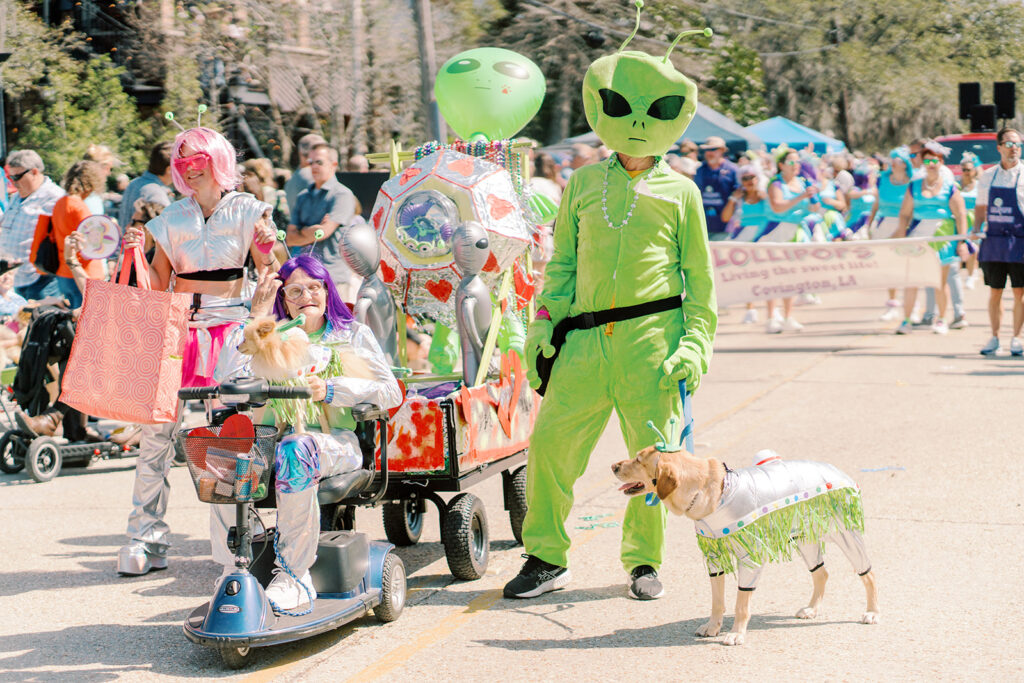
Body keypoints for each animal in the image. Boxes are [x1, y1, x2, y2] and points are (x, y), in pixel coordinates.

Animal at [610, 446, 876, 643]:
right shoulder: (714, 559)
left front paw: (736, 633)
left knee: (868, 574)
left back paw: (872, 612)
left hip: (844, 532)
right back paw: (812, 610)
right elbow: (717, 601)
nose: (613, 466)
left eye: (638, 459)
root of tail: (836, 469)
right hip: (805, 538)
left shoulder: (750, 558)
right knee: (821, 573)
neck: (717, 493)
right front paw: (713, 627)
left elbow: (741, 602)